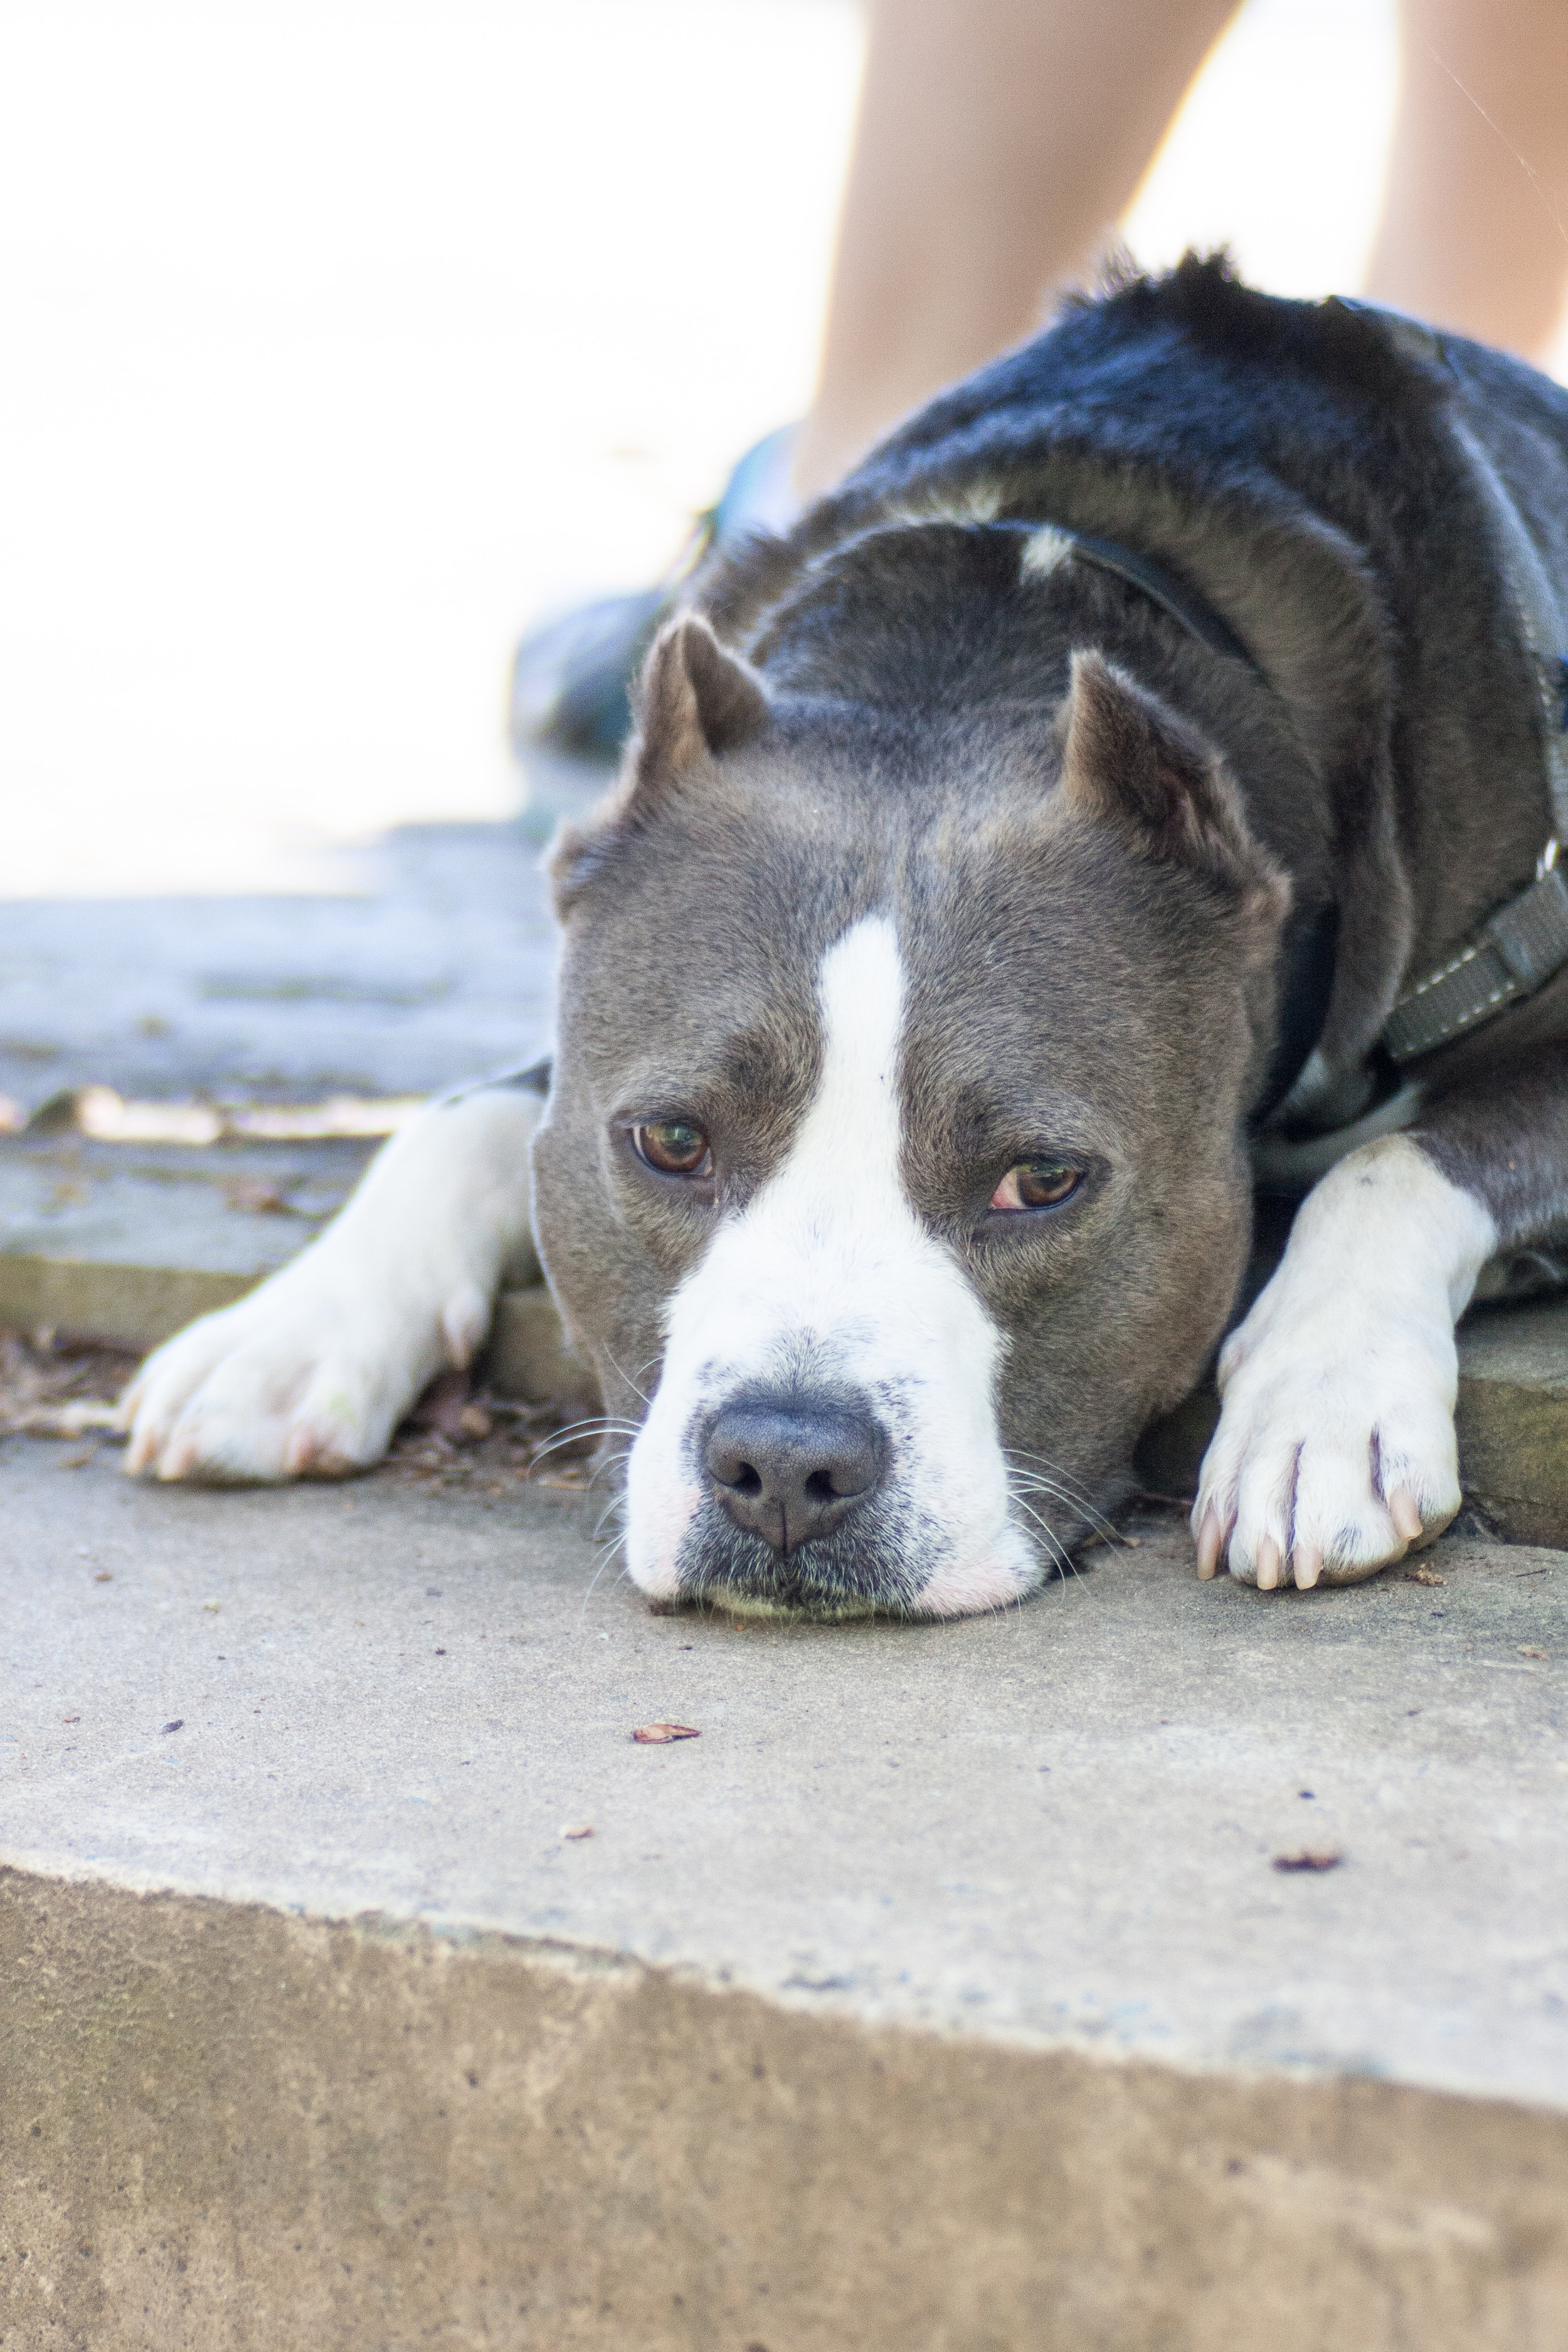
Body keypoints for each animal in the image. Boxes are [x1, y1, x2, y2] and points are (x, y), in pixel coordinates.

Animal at [116, 257, 1568, 1618]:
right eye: (669, 1141)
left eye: (1042, 1180)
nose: (781, 1463)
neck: (975, 654)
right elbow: (457, 1119)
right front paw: (288, 1332)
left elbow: (1388, 1166)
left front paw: (1321, 1408)